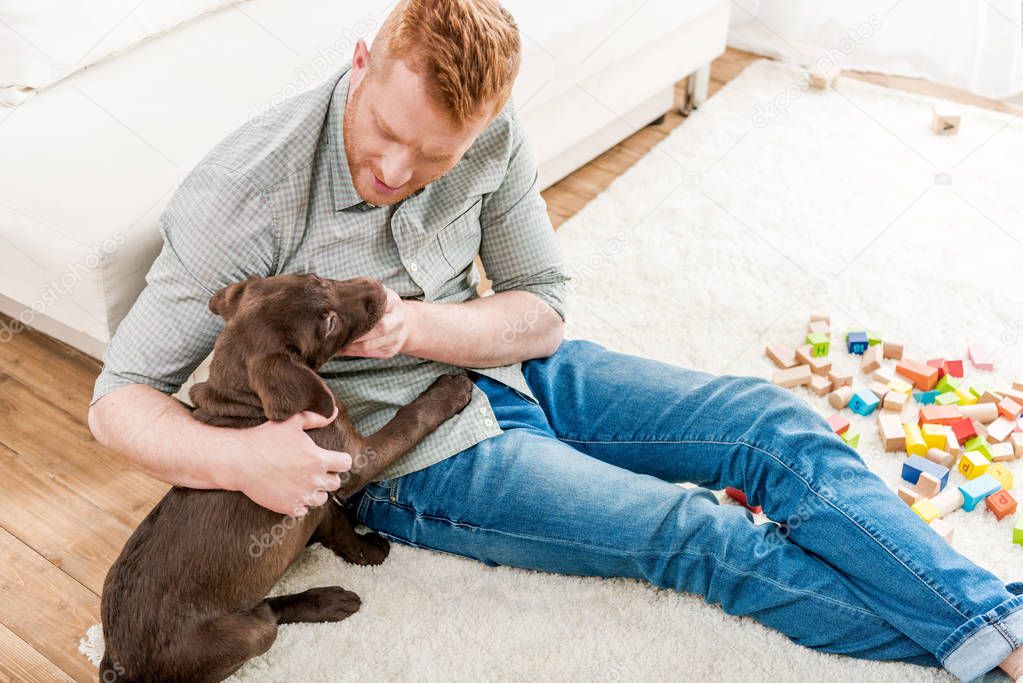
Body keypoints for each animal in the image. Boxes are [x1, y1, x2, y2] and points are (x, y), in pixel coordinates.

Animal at [99, 274, 474, 678]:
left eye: (318, 278)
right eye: (328, 324)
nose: (376, 287)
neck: (248, 404)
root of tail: (115, 661)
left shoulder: (318, 493)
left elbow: (340, 528)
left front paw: (360, 552)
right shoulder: (351, 460)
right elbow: (410, 420)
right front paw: (449, 391)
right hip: (249, 634)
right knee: (267, 617)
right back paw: (324, 601)